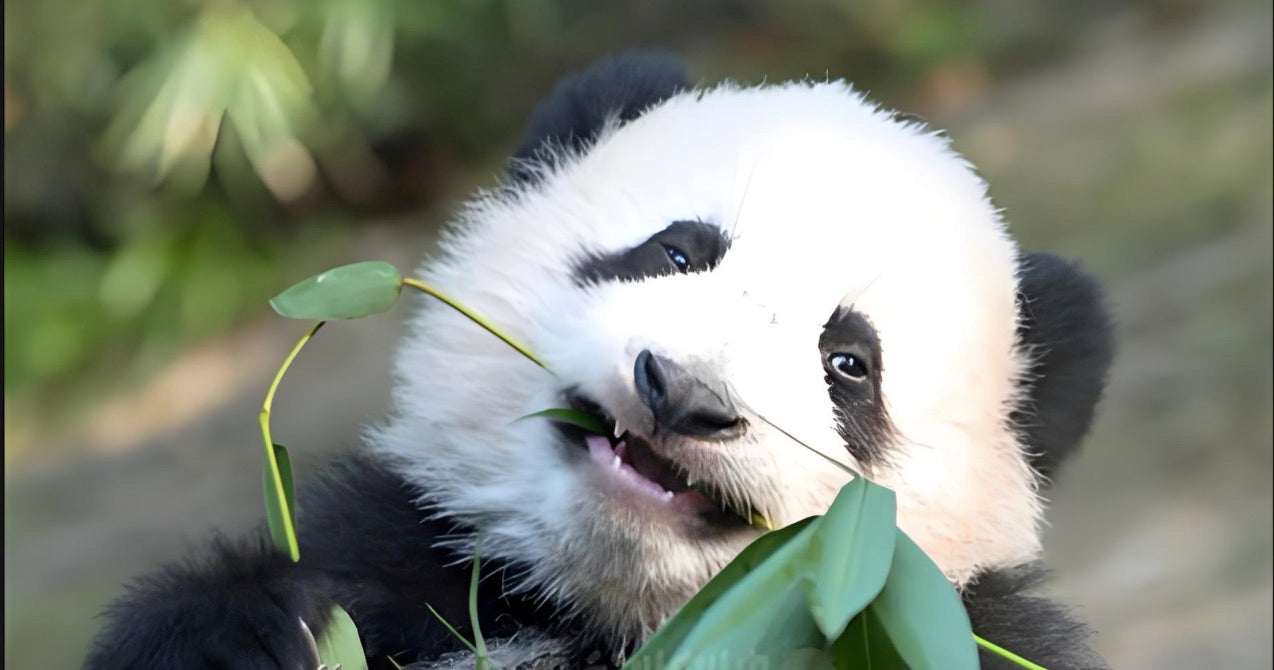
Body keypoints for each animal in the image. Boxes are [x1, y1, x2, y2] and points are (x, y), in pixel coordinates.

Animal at [84, 52, 1114, 670]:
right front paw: (258, 631)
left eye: (848, 365)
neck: (599, 615)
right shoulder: (408, 557)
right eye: (677, 254)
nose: (684, 394)